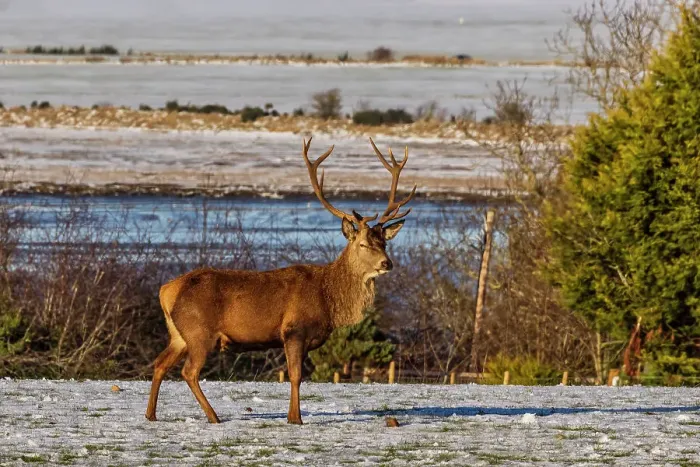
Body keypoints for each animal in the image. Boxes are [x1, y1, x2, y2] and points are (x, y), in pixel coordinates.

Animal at [145, 137, 416, 425]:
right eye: (363, 244)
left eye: (384, 243)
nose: (387, 263)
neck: (328, 298)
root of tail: (166, 290)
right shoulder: (294, 329)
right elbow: (295, 376)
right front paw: (295, 418)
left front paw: (292, 415)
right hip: (199, 332)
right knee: (189, 372)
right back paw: (213, 416)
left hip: (178, 334)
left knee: (160, 363)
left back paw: (151, 414)